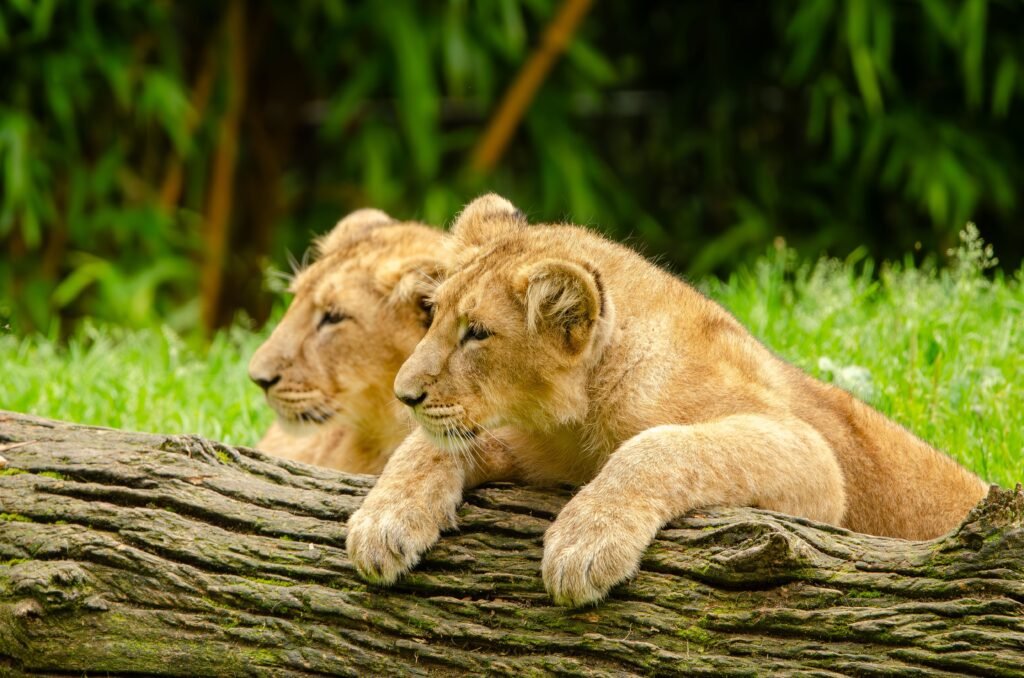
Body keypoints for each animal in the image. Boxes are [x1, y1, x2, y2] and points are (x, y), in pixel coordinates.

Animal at [345, 193, 991, 607]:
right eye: (433, 314)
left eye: (477, 333)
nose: (405, 394)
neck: (583, 416)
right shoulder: (539, 451)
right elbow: (429, 447)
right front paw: (382, 522)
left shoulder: (814, 464)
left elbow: (659, 444)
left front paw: (585, 542)